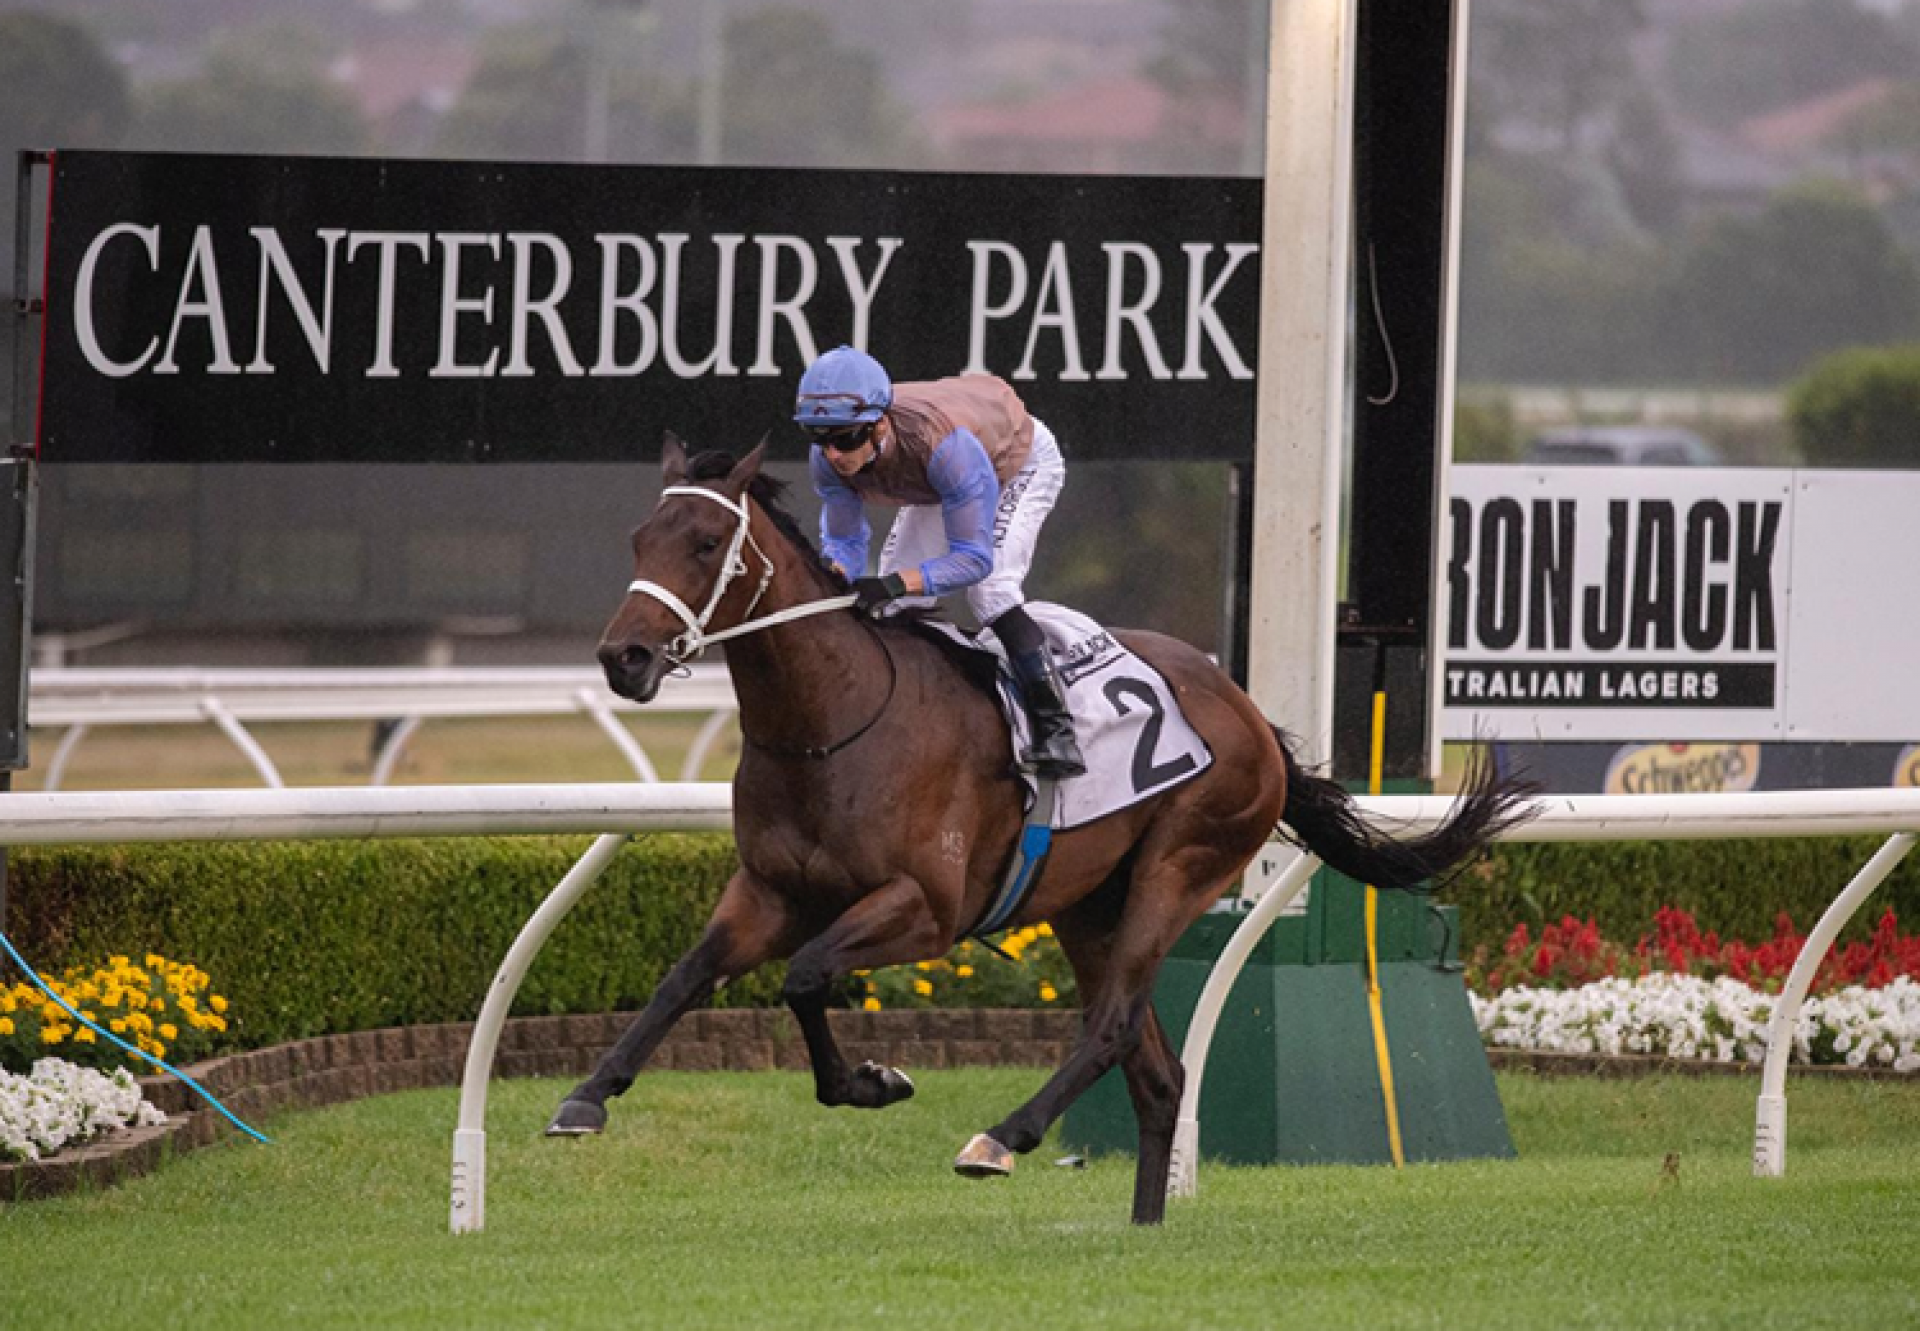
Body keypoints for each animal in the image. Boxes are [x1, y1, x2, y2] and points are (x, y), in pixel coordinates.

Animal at [552, 435, 1528, 1221]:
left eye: (705, 543)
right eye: (640, 539)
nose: (623, 657)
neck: (831, 722)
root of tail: (1253, 717)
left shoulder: (927, 907)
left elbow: (805, 975)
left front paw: (873, 1080)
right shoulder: (769, 891)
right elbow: (686, 975)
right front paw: (588, 1096)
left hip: (1180, 866)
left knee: (1110, 1025)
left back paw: (1001, 1136)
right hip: (1089, 905)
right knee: (1156, 1070)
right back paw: (1143, 1227)